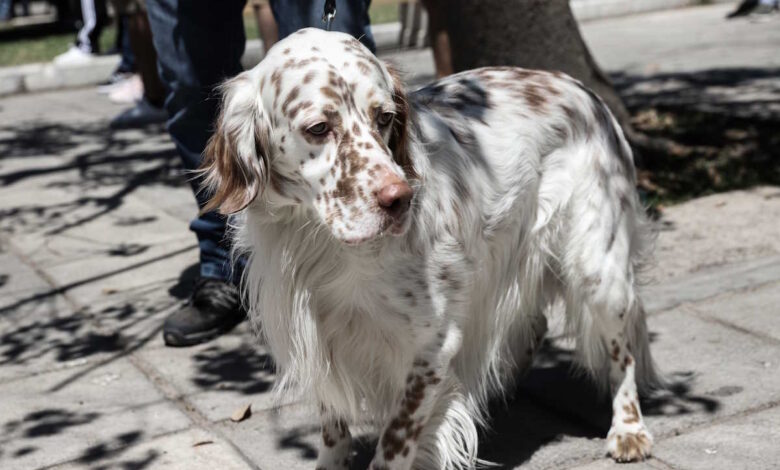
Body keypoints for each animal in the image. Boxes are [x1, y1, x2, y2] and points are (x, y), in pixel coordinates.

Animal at [203, 28, 664, 470]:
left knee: (621, 351)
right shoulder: (321, 338)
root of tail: (585, 92)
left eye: (385, 117)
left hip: (597, 268)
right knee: (532, 325)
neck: (319, 240)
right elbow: (333, 429)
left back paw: (628, 429)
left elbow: (393, 445)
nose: (399, 199)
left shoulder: (429, 347)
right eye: (318, 128)